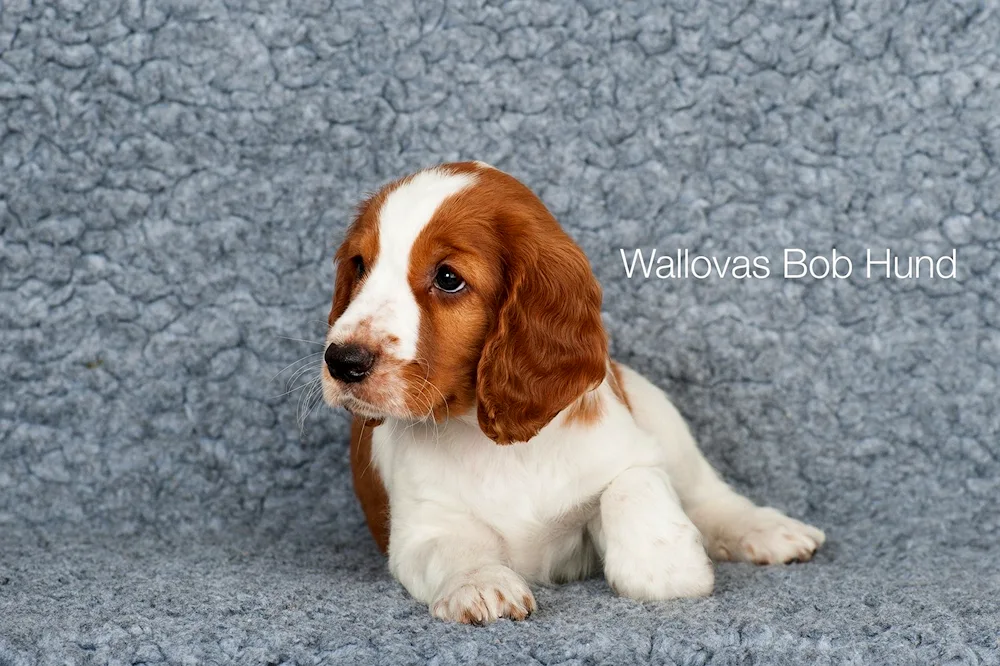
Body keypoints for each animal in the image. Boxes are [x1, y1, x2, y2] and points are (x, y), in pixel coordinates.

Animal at [322, 161, 828, 624]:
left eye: (448, 278)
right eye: (360, 266)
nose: (342, 361)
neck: (494, 441)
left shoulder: (629, 450)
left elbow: (631, 486)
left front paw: (666, 566)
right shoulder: (422, 524)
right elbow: (451, 548)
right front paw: (481, 584)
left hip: (658, 410)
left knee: (708, 497)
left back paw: (768, 530)